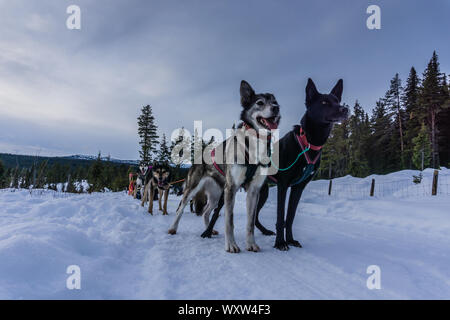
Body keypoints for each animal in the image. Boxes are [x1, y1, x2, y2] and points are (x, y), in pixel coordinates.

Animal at [170, 80, 282, 252]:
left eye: (275, 101)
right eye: (260, 103)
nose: (276, 108)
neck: (253, 144)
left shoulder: (253, 191)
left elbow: (250, 223)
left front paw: (251, 244)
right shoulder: (232, 188)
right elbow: (229, 221)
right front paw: (231, 245)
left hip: (216, 196)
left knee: (206, 212)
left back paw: (209, 230)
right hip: (193, 189)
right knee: (180, 208)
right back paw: (173, 228)